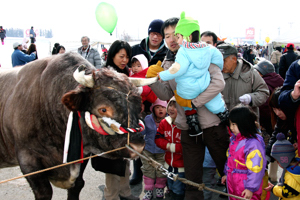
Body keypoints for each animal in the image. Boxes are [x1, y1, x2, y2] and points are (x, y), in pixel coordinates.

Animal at [0, 52, 145, 199]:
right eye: (103, 109)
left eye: (139, 106)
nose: (138, 146)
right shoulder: (28, 160)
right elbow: (44, 192)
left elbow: (77, 185)